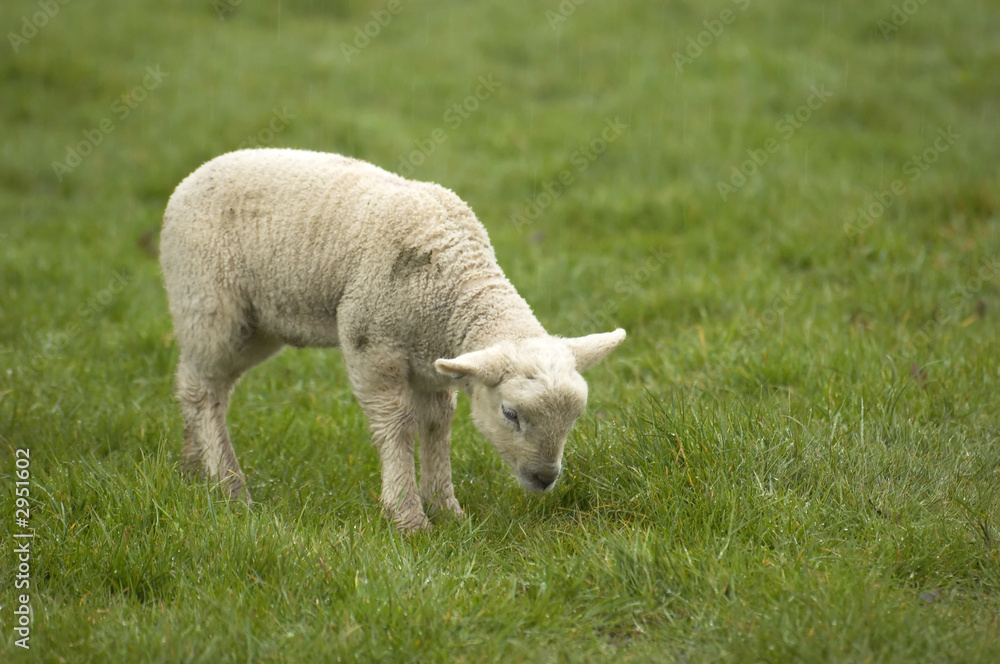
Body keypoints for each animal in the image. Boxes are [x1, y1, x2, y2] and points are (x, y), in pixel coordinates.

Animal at [159, 148, 625, 532]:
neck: (454, 278)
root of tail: (194, 175)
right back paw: (229, 486)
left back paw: (193, 467)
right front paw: (407, 516)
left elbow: (437, 424)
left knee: (199, 383)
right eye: (510, 414)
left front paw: (446, 509)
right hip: (208, 302)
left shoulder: (434, 361)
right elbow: (397, 425)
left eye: (575, 418)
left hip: (257, 325)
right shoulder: (372, 346)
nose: (544, 478)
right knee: (202, 390)